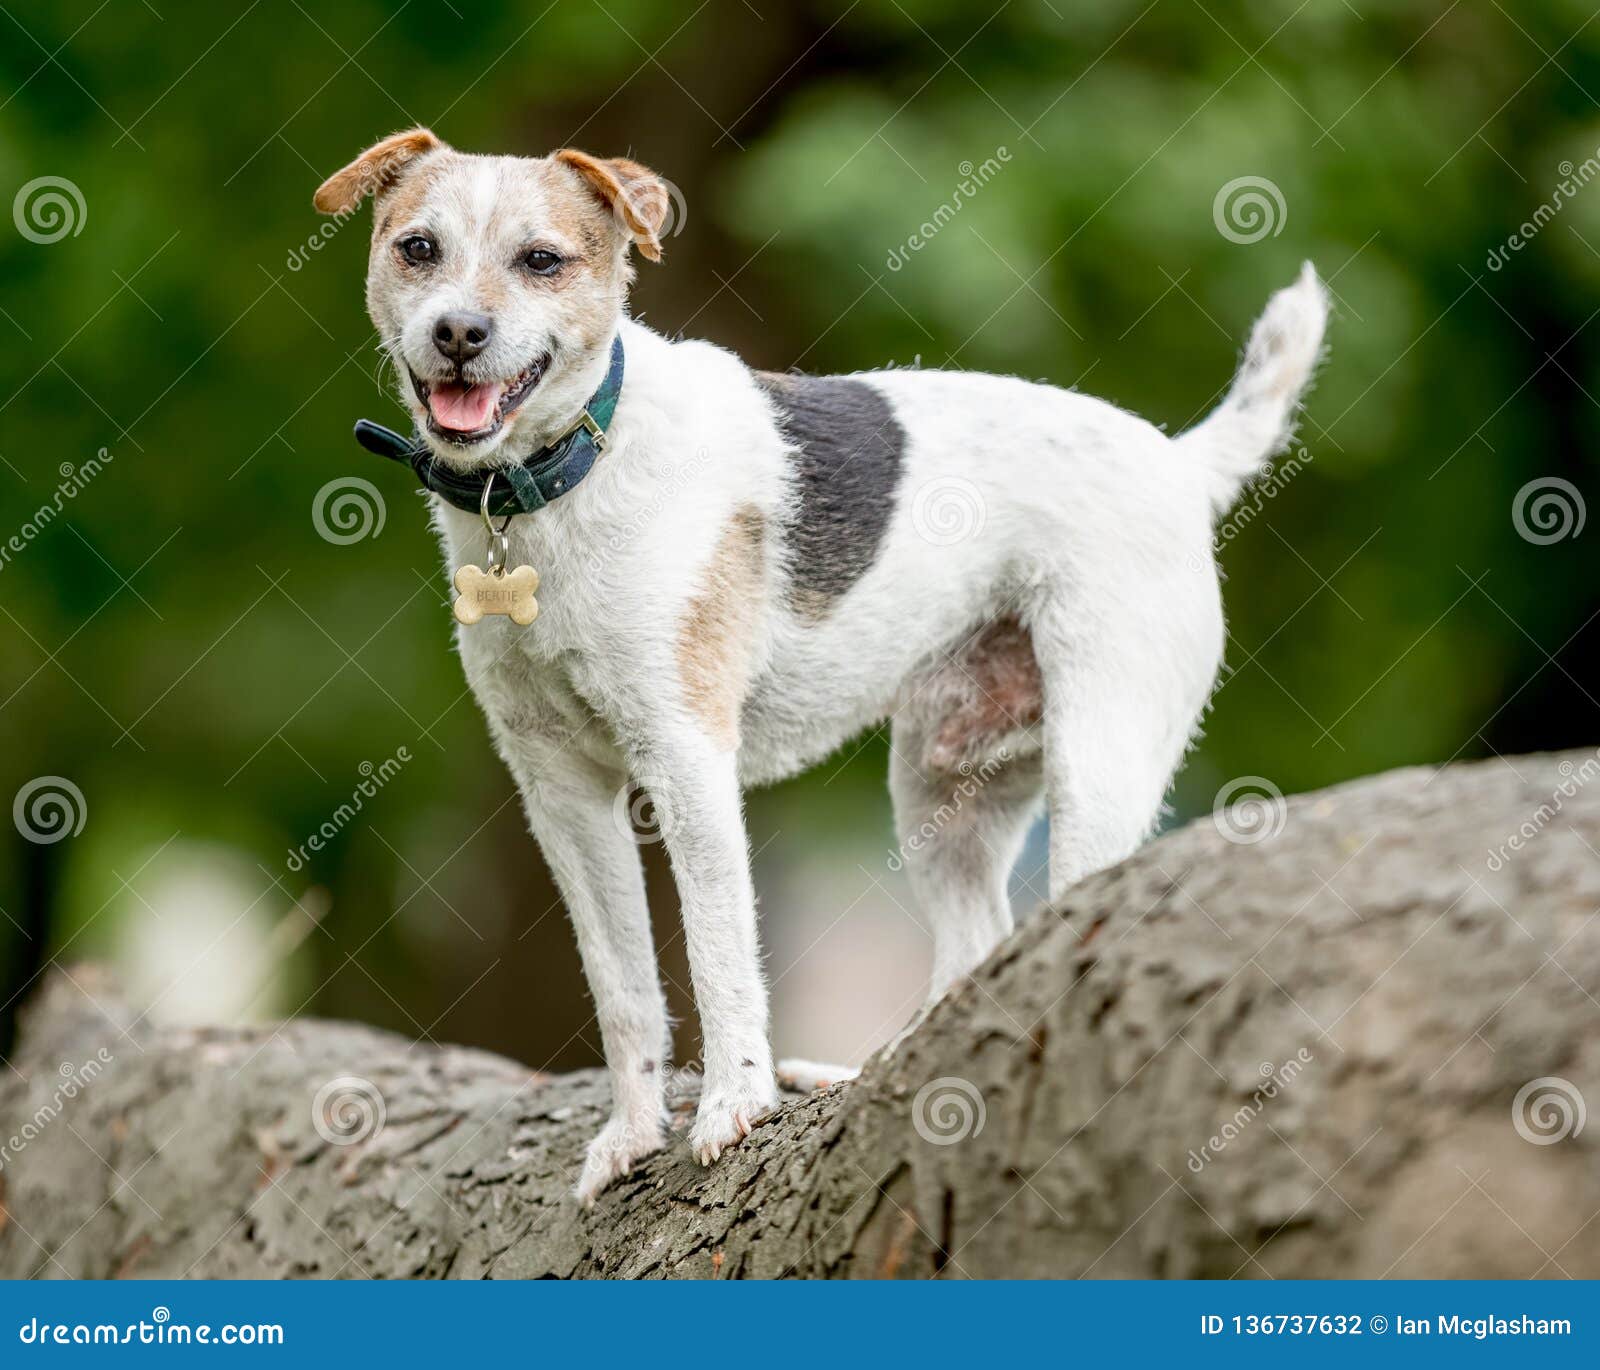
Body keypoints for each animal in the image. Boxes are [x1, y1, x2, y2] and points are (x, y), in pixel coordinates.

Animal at [318, 128, 1331, 1197]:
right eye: (418, 248)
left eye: (541, 260)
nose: (458, 333)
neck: (563, 476)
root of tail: (1180, 463)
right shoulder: (559, 788)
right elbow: (622, 984)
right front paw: (631, 1134)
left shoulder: (687, 761)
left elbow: (719, 955)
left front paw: (732, 1104)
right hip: (940, 787)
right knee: (974, 947)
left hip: (1096, 764)